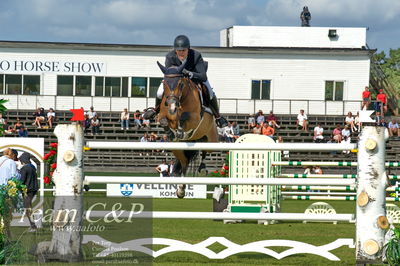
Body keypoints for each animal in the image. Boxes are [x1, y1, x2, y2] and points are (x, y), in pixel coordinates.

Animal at [156, 61, 219, 197]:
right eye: (164, 83)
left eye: (181, 84)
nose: (172, 107)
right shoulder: (163, 115)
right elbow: (164, 120)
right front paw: (171, 133)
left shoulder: (195, 118)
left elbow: (184, 117)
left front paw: (180, 131)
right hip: (178, 149)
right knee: (184, 162)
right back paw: (181, 189)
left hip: (211, 140)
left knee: (205, 151)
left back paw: (202, 168)